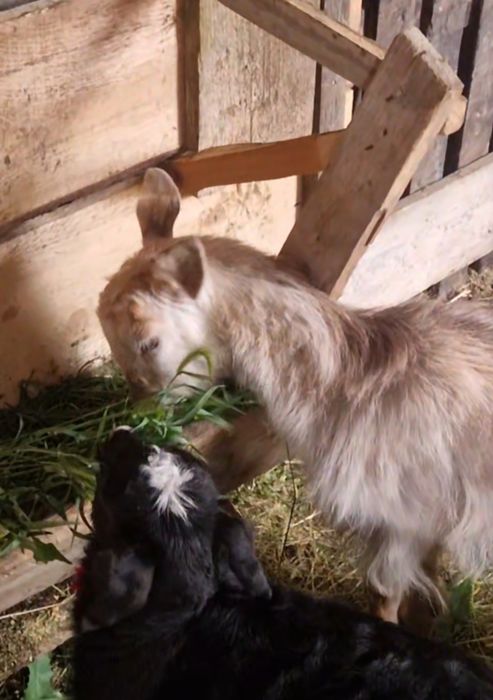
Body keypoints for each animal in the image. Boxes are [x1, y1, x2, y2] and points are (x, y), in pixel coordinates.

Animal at [97, 167, 493, 625]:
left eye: (149, 342)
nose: (143, 417)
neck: (344, 383)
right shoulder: (427, 526)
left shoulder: (402, 524)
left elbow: (384, 596)